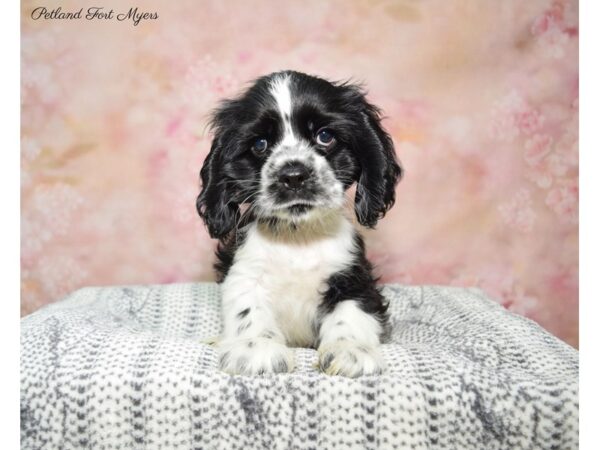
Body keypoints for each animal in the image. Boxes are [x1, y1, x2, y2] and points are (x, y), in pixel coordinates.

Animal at [198, 72, 404, 378]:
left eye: (325, 136)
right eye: (259, 144)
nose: (293, 175)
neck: (299, 237)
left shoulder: (353, 275)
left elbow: (351, 311)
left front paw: (351, 351)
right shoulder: (245, 271)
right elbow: (248, 307)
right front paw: (256, 347)